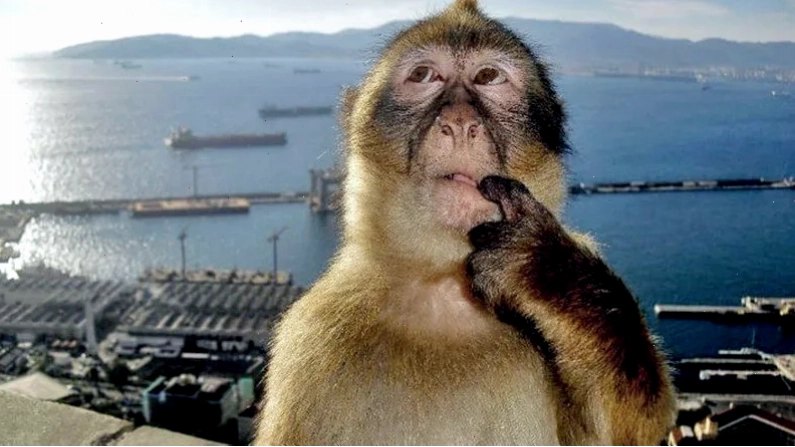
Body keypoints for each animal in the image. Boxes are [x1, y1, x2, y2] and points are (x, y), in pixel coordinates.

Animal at [254, 0, 676, 445]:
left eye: (488, 77)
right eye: (424, 75)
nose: (459, 123)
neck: (444, 286)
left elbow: (628, 431)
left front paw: (543, 269)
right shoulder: (310, 343)